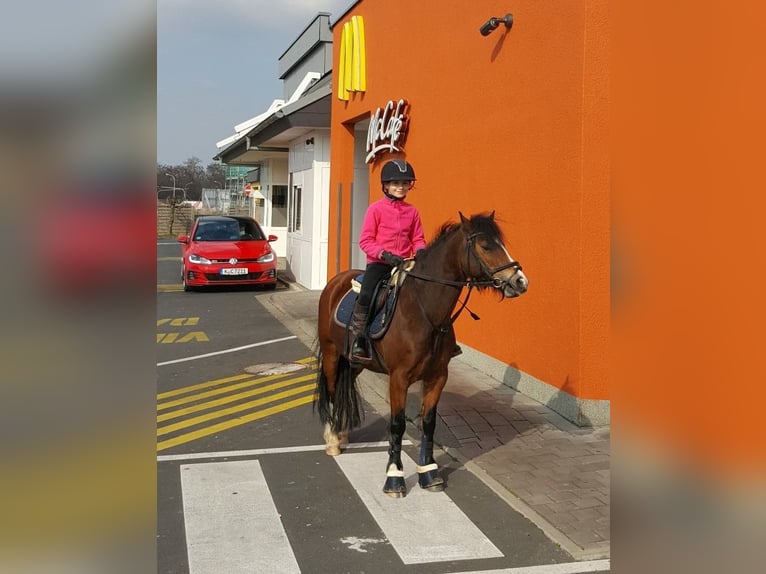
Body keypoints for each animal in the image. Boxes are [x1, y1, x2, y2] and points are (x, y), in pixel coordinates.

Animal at [316, 213, 532, 500]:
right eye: (486, 246)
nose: (520, 281)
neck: (424, 311)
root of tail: (335, 283)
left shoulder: (437, 377)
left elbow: (429, 423)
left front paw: (429, 473)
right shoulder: (398, 378)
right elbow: (397, 424)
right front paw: (394, 477)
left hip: (354, 362)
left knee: (344, 385)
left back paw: (341, 433)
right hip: (331, 353)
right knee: (331, 391)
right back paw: (332, 439)